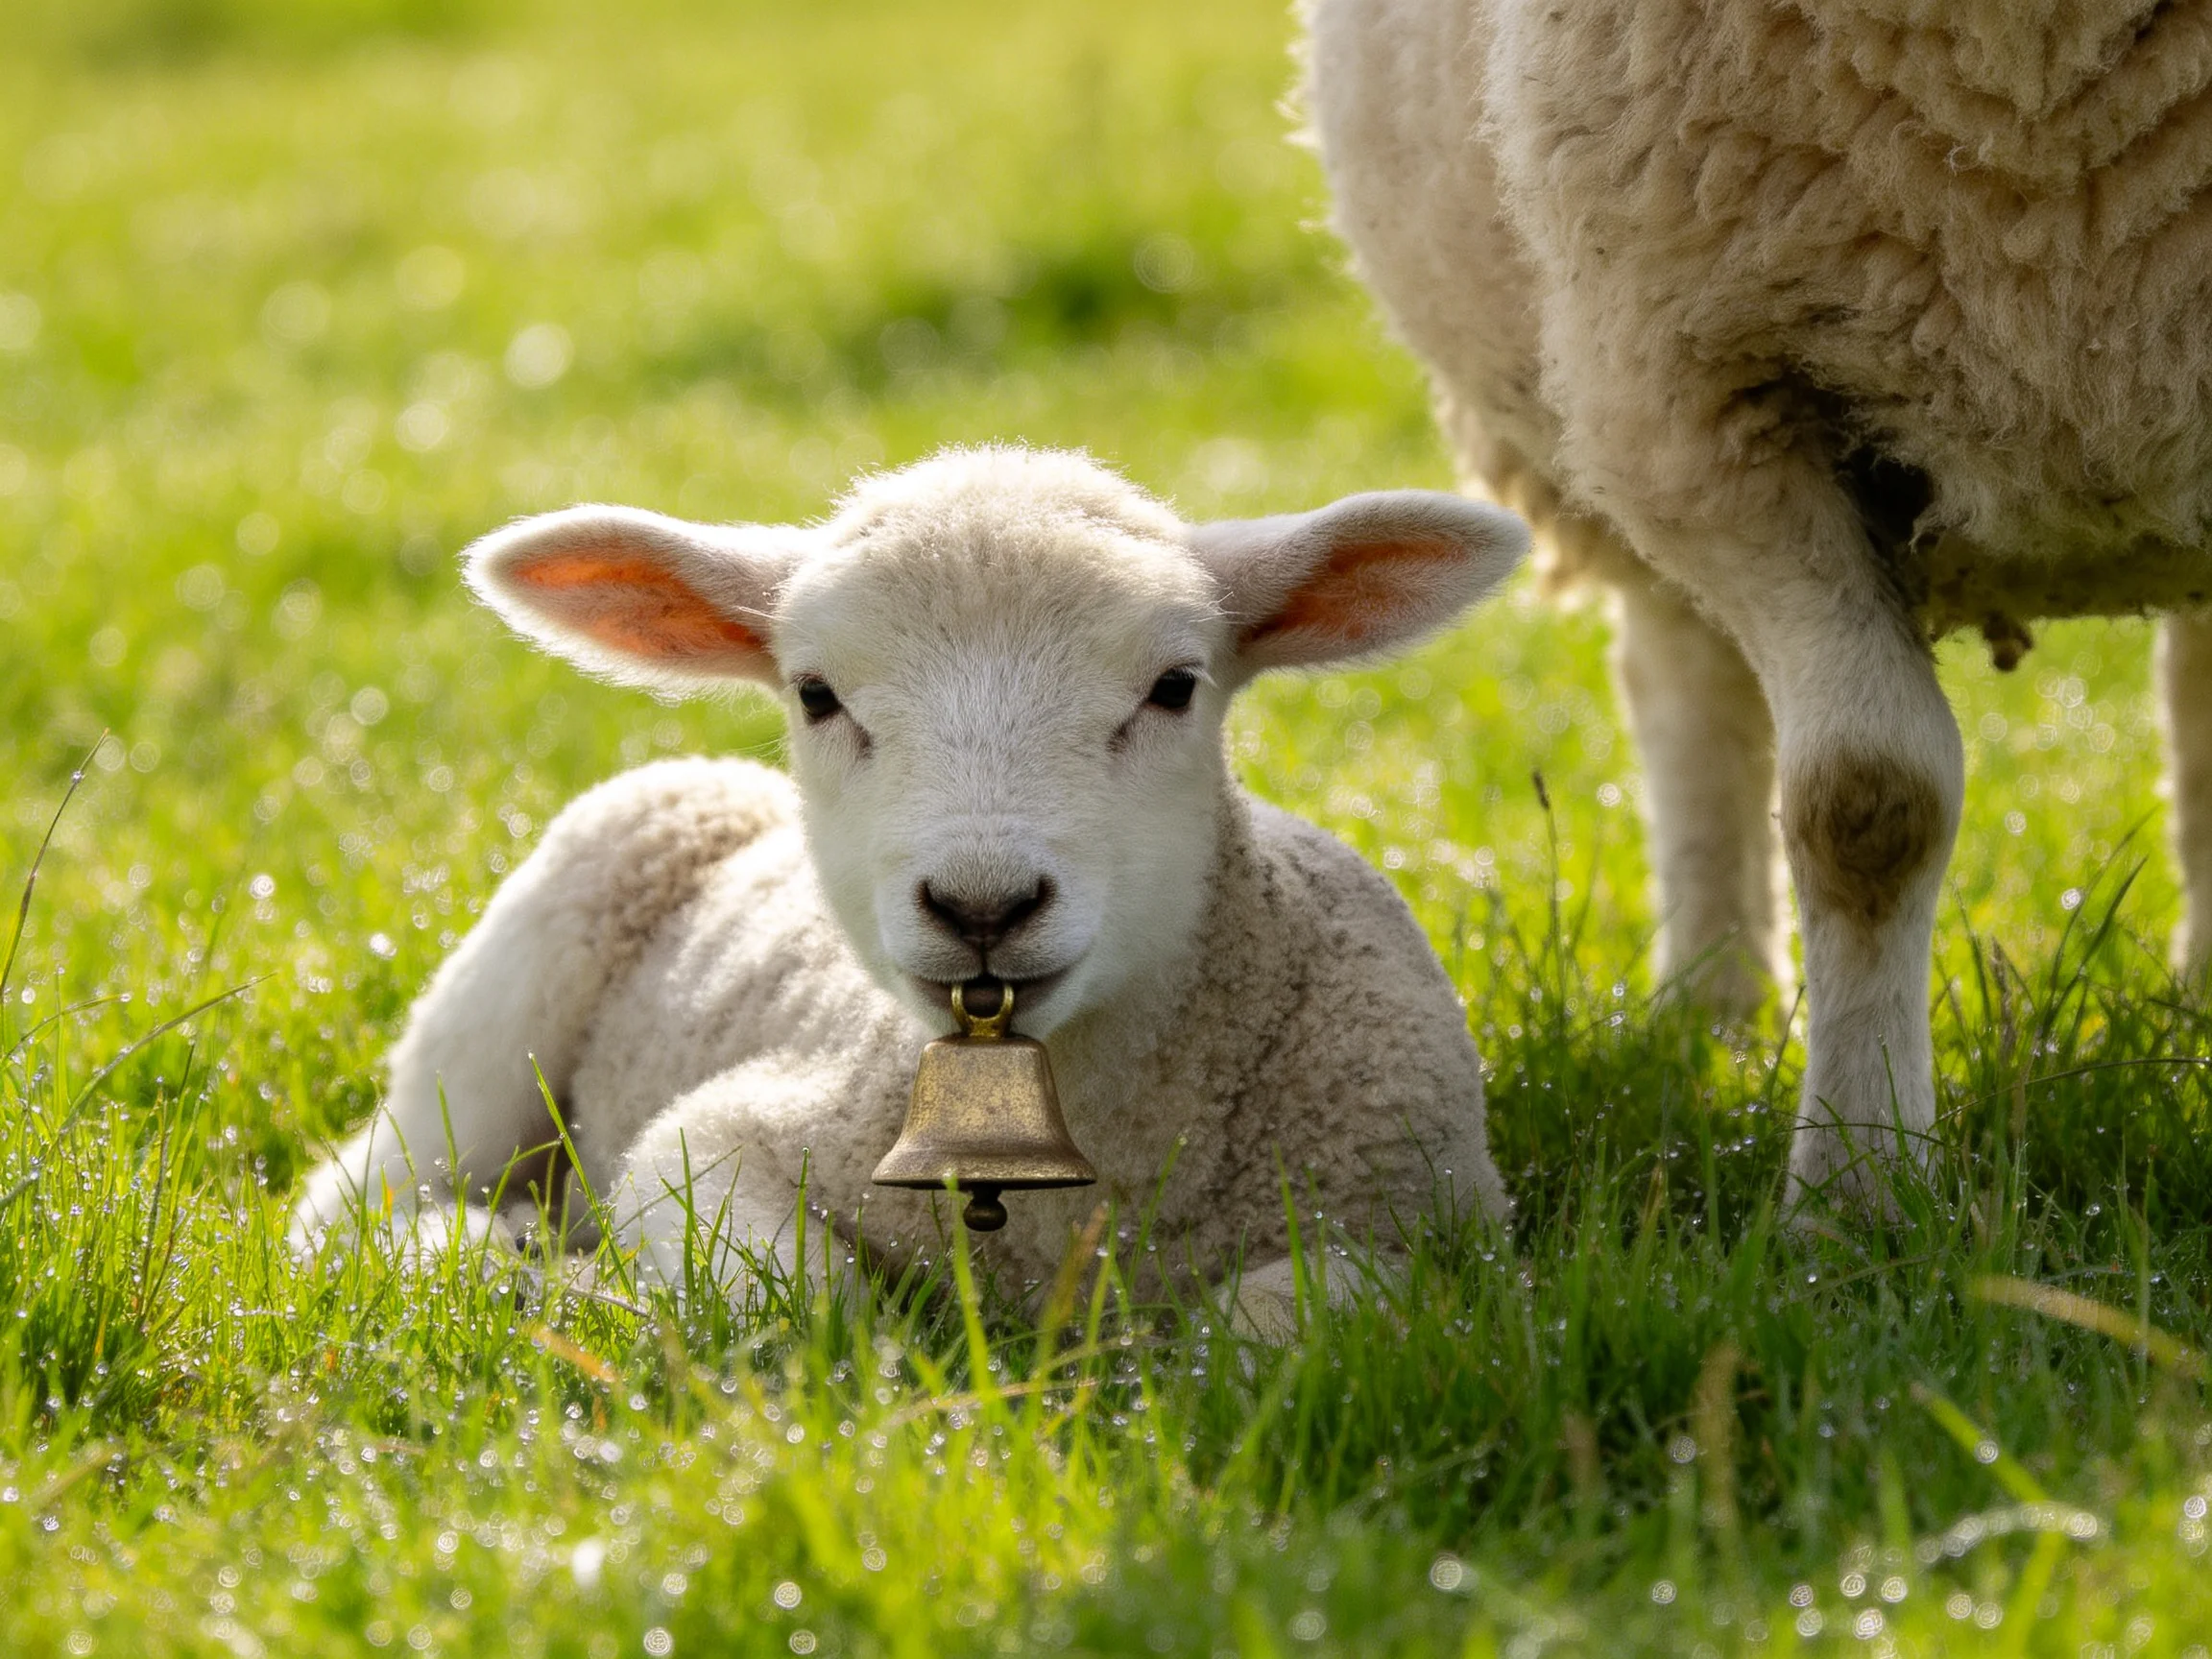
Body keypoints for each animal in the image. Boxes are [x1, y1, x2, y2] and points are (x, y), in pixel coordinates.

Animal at [289, 446, 1526, 1331]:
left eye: (1176, 686)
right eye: (816, 694)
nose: (984, 907)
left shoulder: (1438, 1227)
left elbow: (1281, 1324)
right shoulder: (718, 1139)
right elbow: (801, 1309)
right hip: (496, 1021)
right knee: (350, 1207)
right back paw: (482, 1256)